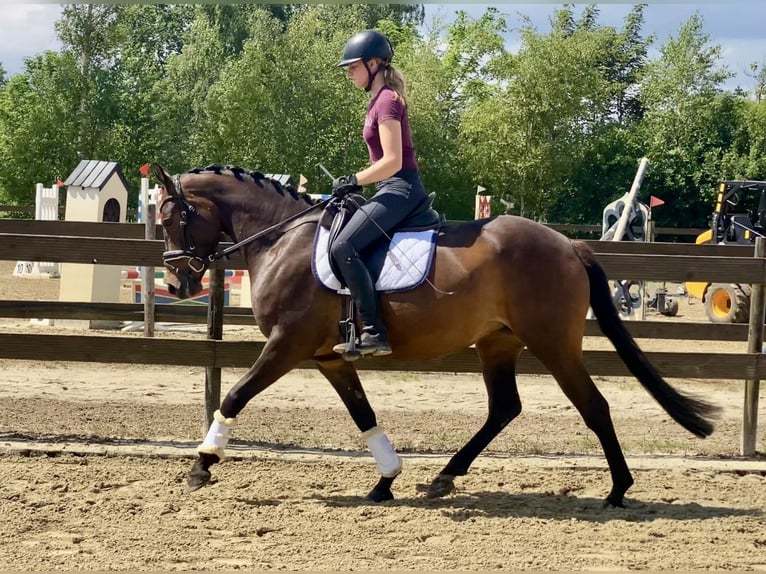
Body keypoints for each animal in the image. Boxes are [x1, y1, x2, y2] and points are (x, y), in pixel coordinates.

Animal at [152, 163, 720, 508]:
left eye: (172, 217)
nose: (179, 282)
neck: (281, 239)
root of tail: (568, 244)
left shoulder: (287, 346)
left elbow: (234, 395)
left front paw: (201, 465)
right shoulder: (330, 357)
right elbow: (364, 414)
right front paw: (386, 479)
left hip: (553, 344)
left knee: (593, 405)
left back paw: (618, 489)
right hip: (498, 343)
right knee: (504, 408)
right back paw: (445, 476)